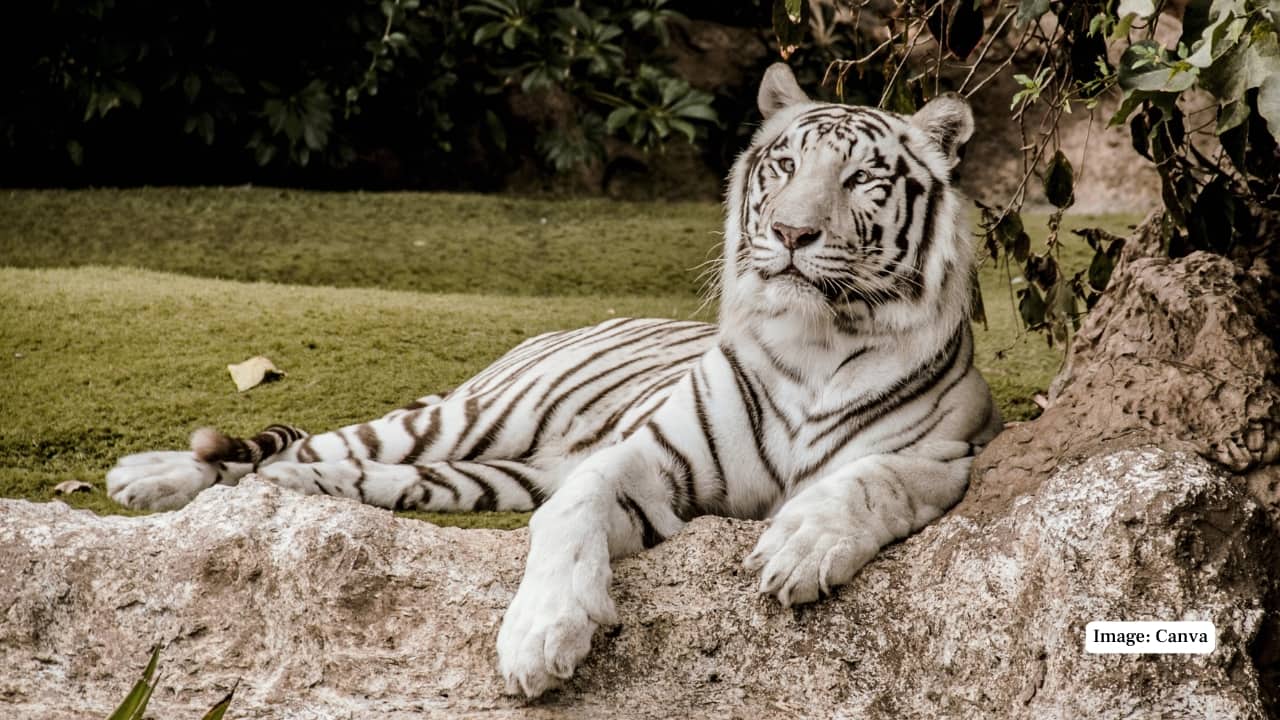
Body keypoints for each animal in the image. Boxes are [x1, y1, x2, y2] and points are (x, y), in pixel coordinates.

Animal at [105, 63, 1001, 698]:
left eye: (860, 180)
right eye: (782, 167)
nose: (789, 232)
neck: (815, 338)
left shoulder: (953, 455)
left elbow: (872, 479)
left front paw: (800, 545)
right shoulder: (648, 456)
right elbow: (571, 515)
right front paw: (540, 637)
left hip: (471, 477)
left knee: (337, 471)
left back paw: (292, 493)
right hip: (465, 419)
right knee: (310, 443)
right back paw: (149, 476)